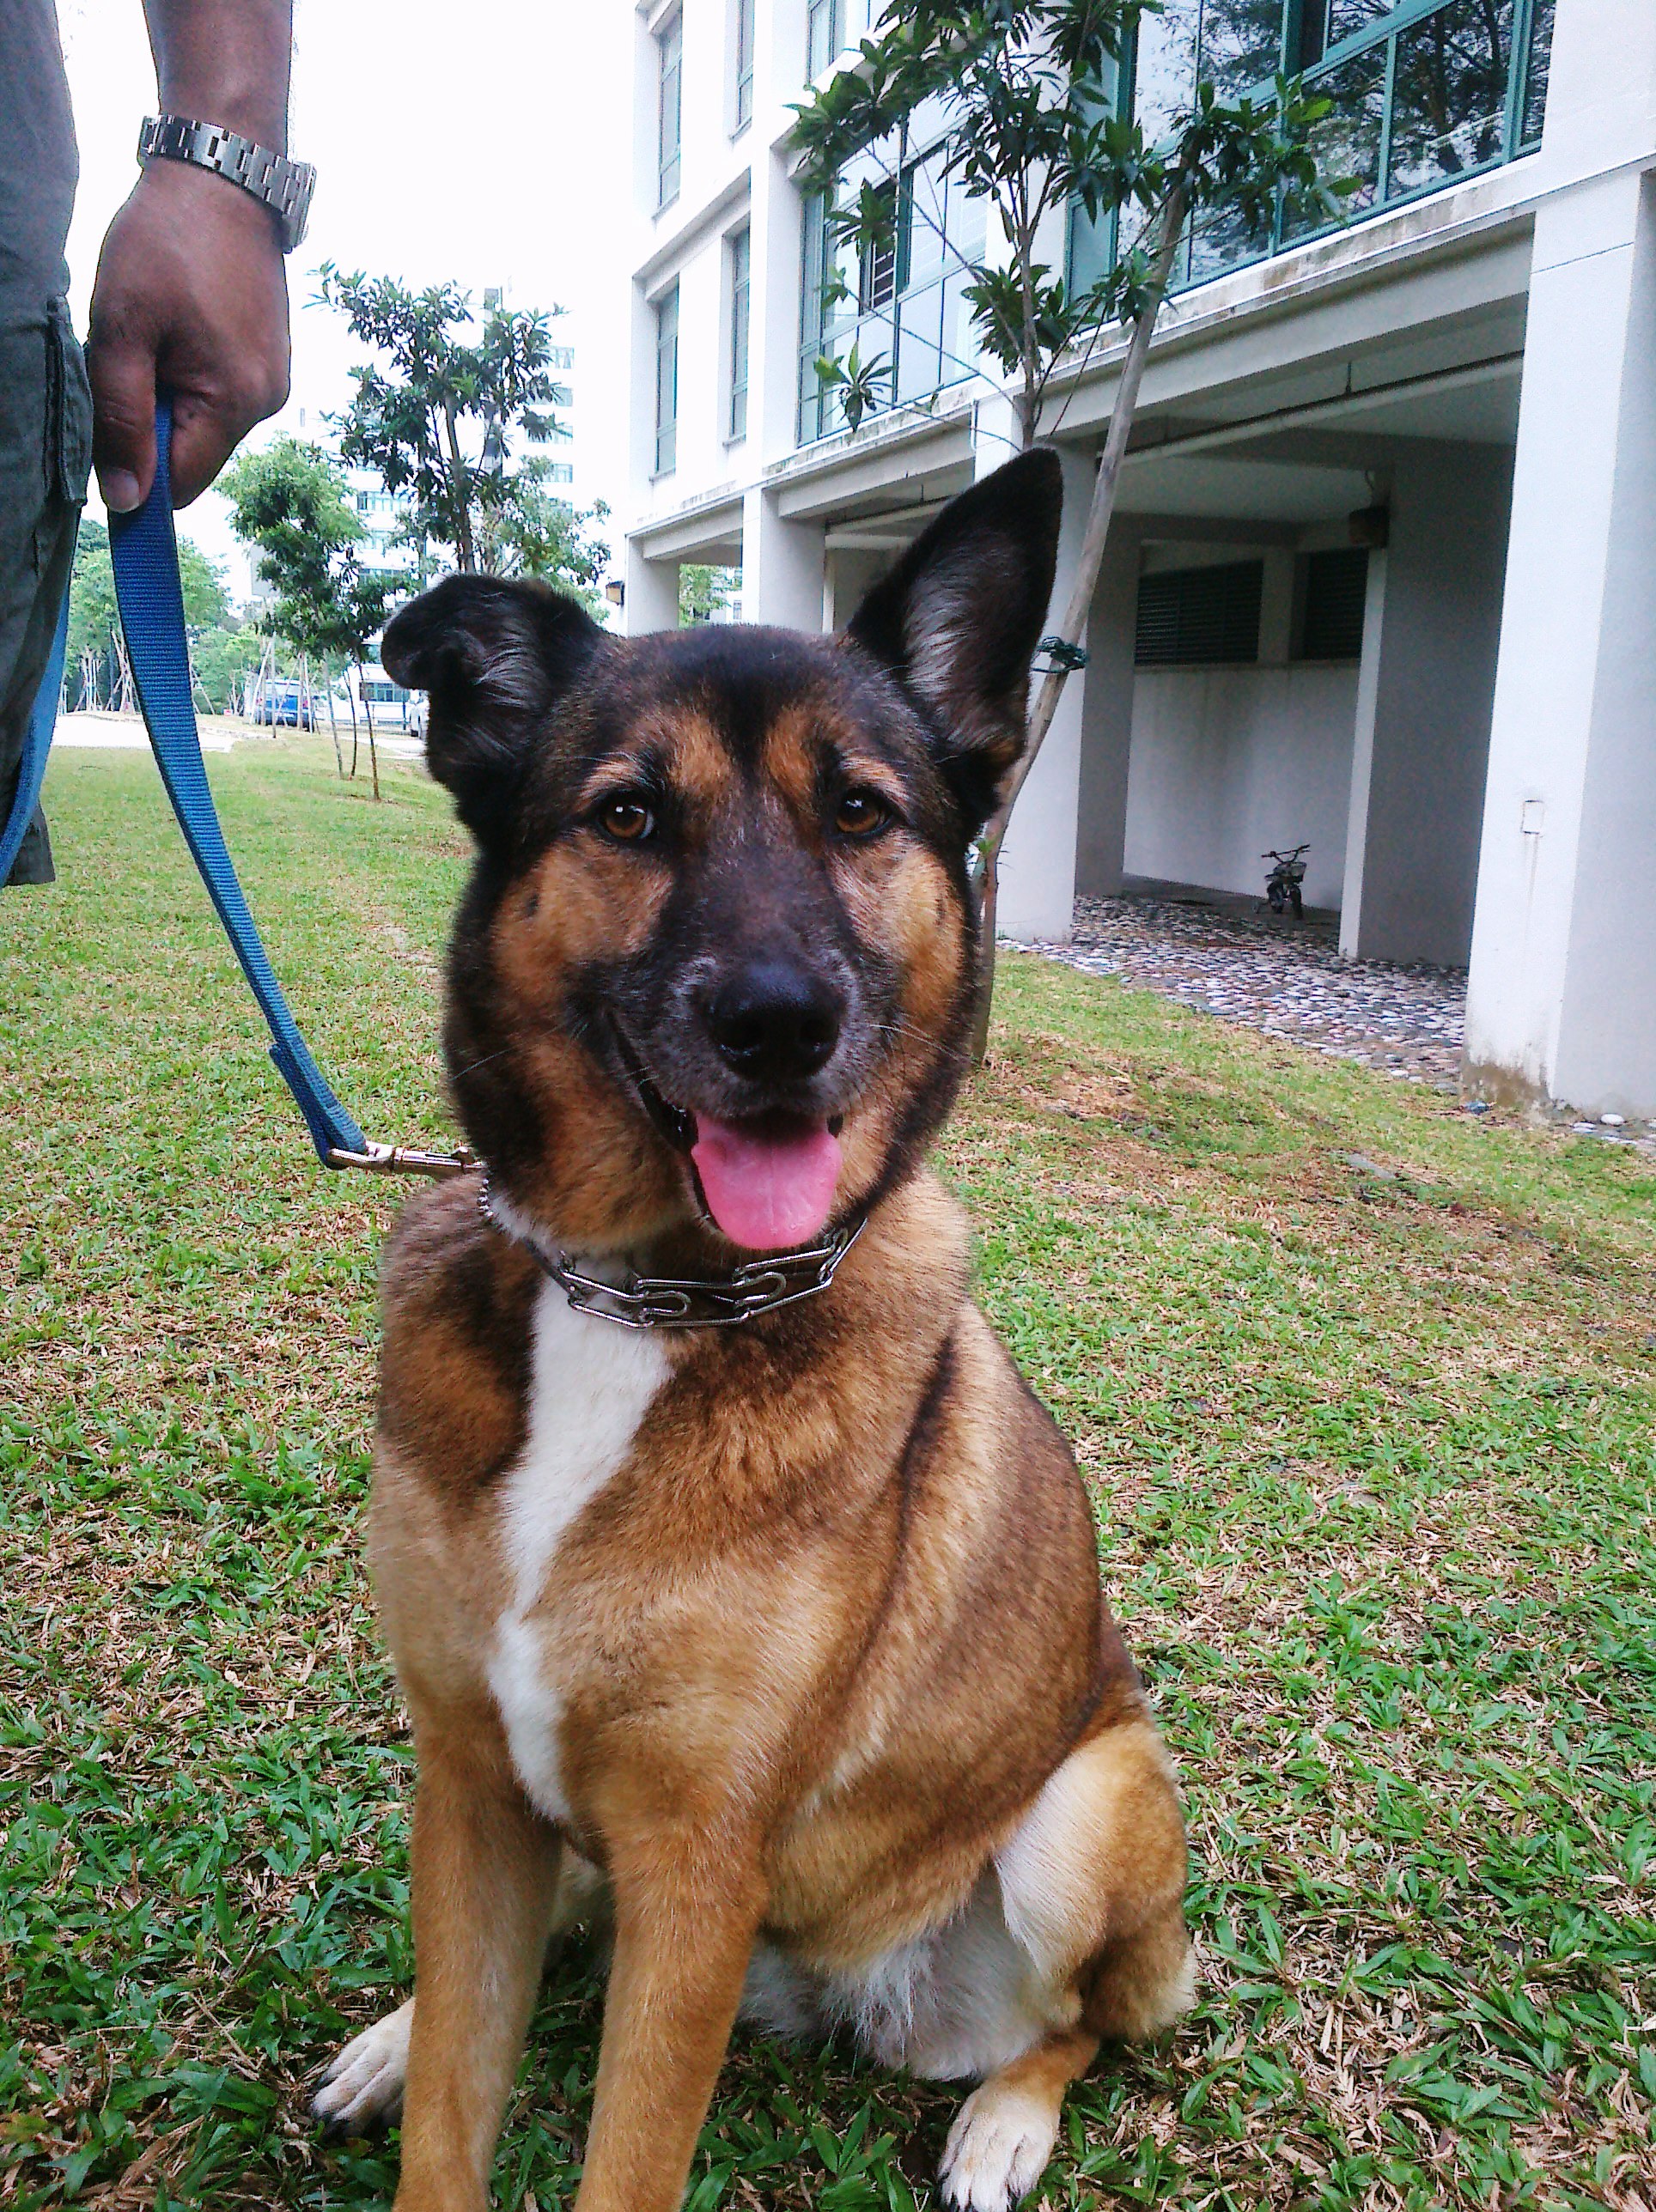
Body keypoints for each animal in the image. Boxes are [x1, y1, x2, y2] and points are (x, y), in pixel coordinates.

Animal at [309, 448, 1186, 2212]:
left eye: (858, 810)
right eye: (627, 816)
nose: (779, 1025)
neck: (638, 1295)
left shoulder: (697, 1868)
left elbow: (624, 2164)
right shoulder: (474, 1792)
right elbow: (453, 2110)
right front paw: (417, 2059)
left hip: (1087, 1813)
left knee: (1079, 2027)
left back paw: (1004, 2123)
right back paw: (386, 2035)